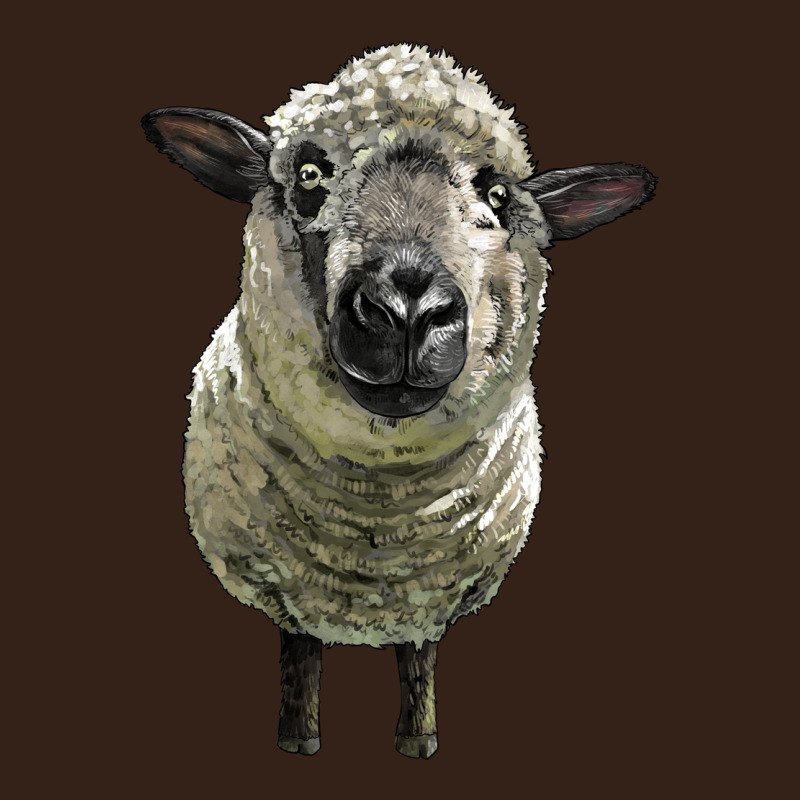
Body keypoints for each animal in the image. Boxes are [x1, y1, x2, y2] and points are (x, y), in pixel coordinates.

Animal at [142, 43, 655, 759]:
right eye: (308, 174)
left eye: (497, 196)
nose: (407, 309)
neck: (376, 523)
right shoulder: (285, 584)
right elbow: (300, 652)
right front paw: (298, 740)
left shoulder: (432, 596)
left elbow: (419, 660)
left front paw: (419, 742)